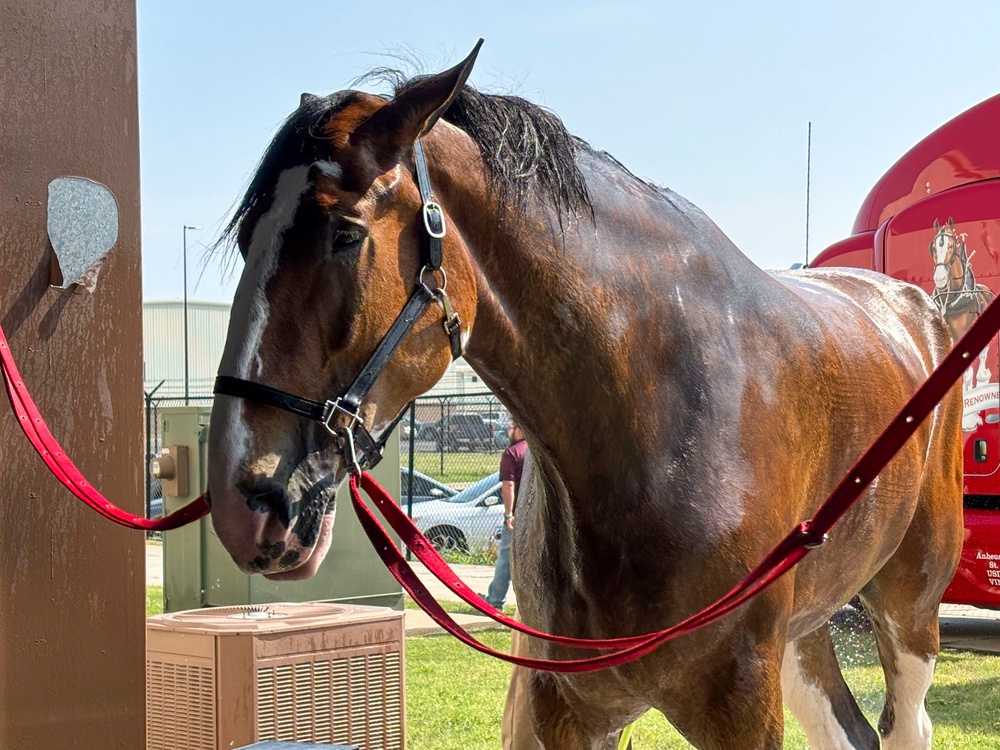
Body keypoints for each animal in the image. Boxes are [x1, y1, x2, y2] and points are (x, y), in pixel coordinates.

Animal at [207, 44, 964, 748]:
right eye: (247, 239)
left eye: (345, 232)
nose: (246, 504)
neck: (658, 432)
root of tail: (920, 312)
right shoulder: (564, 708)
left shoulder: (741, 706)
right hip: (806, 632)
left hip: (908, 611)